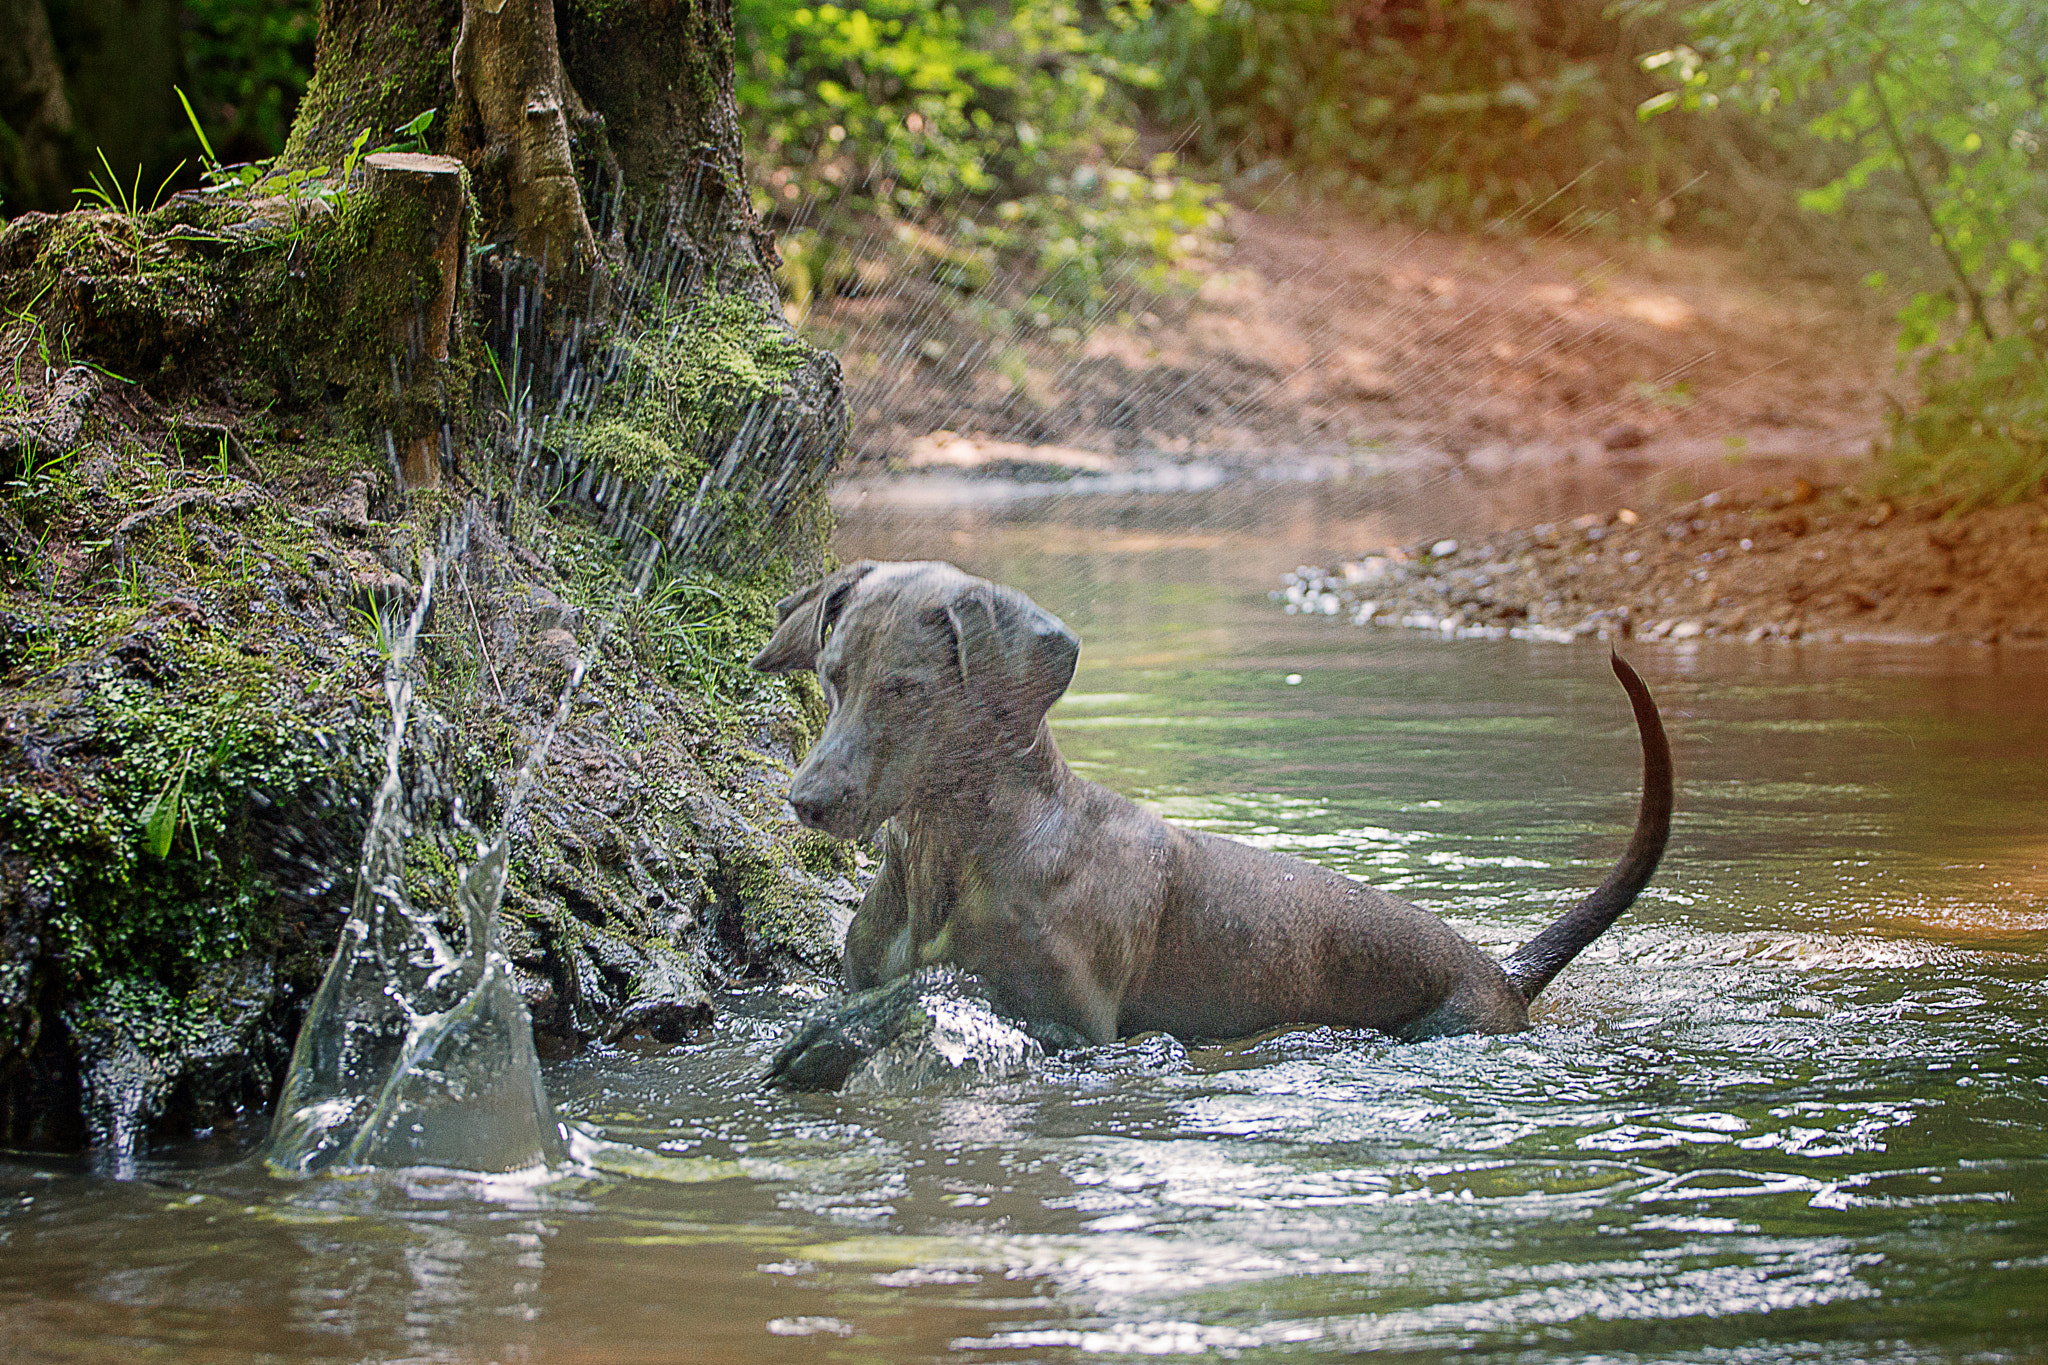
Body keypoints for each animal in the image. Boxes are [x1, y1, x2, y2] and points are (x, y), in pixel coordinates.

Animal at [753, 560, 1662, 1055]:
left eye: (906, 688)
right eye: (832, 674)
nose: (807, 801)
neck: (958, 856)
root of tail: (1499, 971)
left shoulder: (1077, 1032)